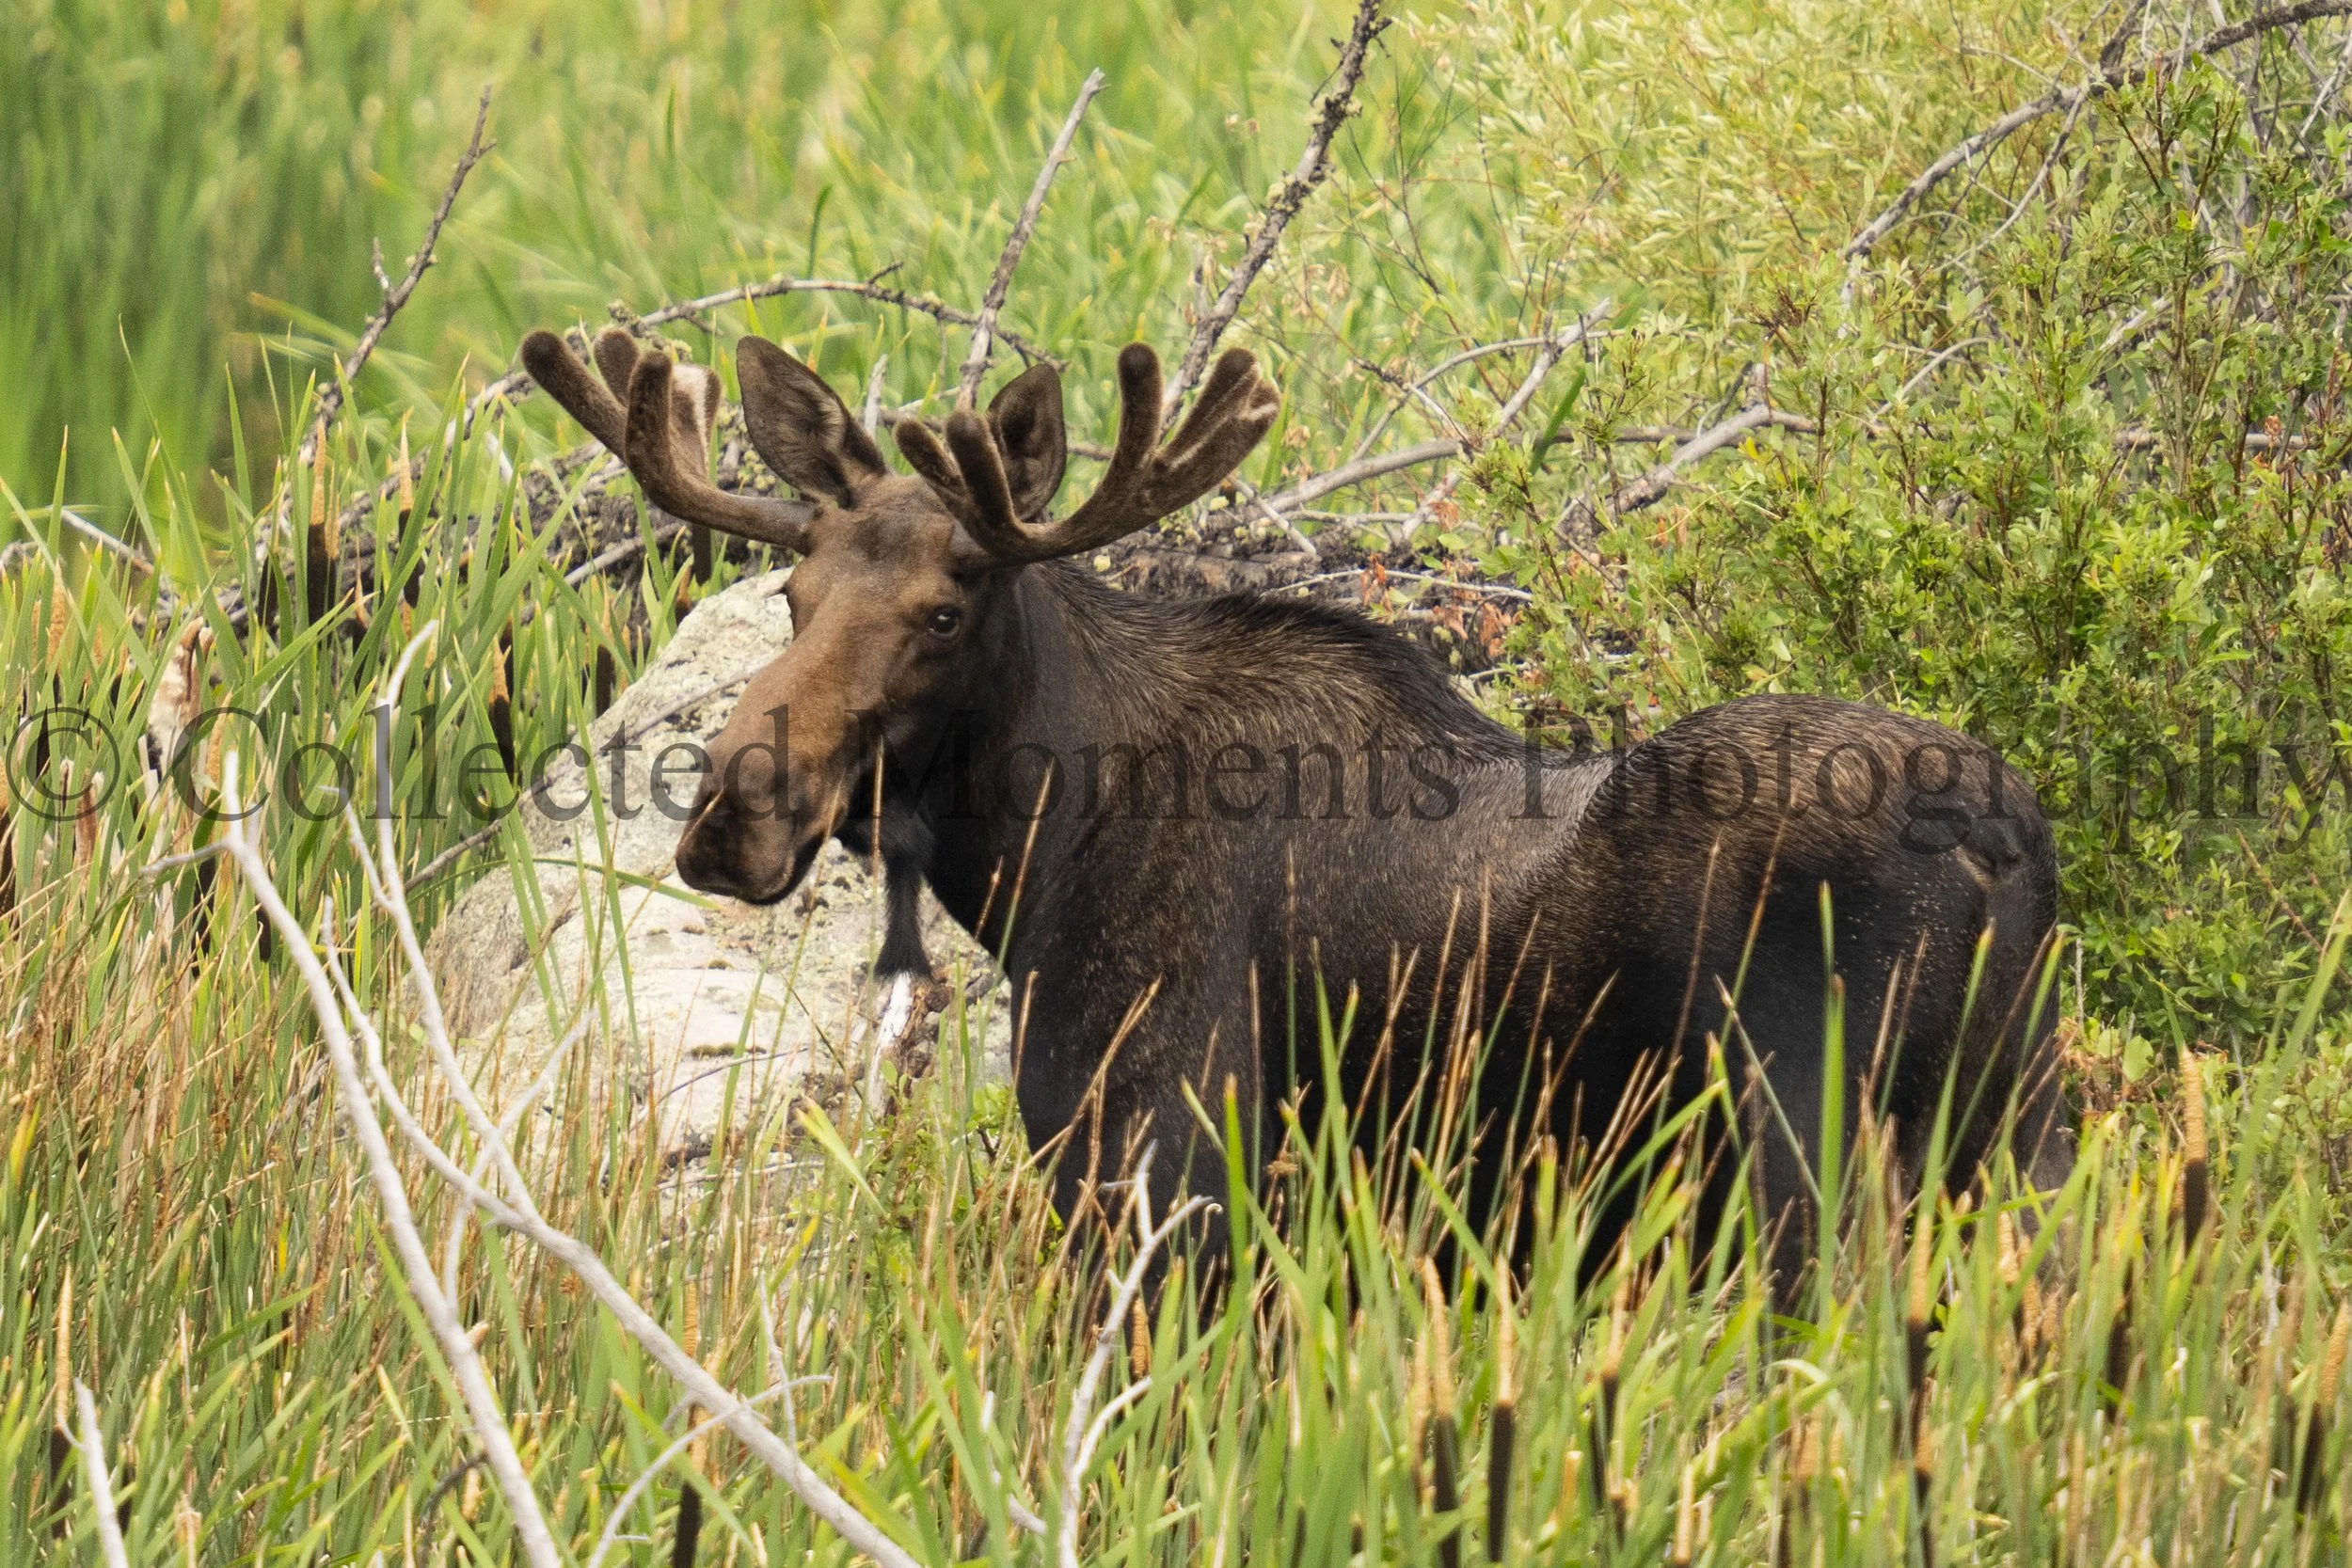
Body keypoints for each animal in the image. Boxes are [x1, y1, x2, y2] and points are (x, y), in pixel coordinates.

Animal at [518, 324, 2073, 1290]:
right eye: (792, 591)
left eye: (945, 611)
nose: (732, 814)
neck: (1035, 853)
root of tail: (2016, 847)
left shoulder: (1158, 1152)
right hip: (2017, 1134)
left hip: (1805, 1161)